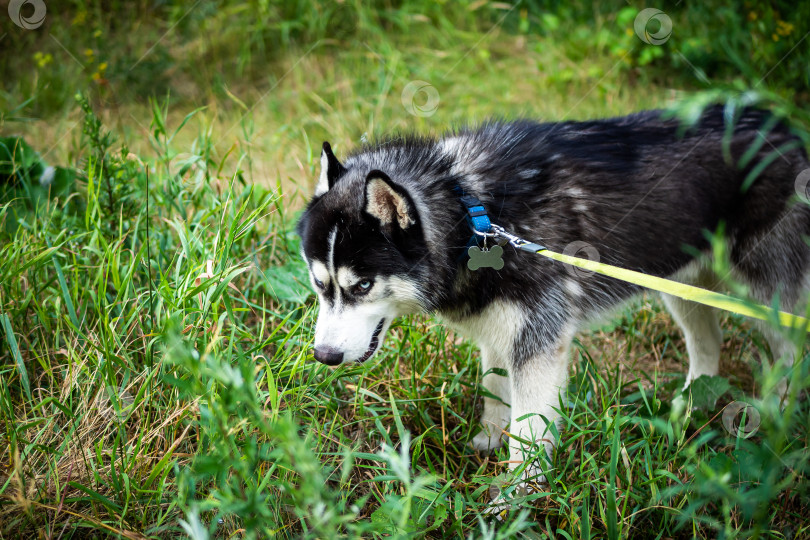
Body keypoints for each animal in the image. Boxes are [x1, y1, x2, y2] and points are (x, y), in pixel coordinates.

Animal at [296, 106, 808, 490]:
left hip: (762, 295)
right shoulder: (500, 331)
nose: (325, 356)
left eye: (362, 285)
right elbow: (495, 393)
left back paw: (775, 416)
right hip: (683, 285)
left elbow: (528, 433)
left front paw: (511, 502)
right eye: (320, 283)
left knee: (790, 352)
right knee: (708, 344)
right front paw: (487, 443)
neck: (472, 215)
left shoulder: (539, 342)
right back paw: (689, 406)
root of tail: (783, 123)